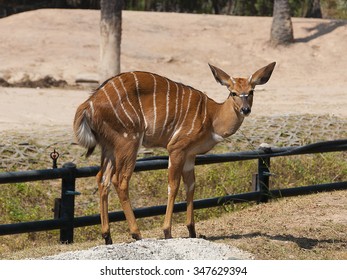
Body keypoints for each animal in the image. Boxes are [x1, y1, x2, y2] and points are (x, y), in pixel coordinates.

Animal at [74, 62, 278, 244]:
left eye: (251, 91)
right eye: (233, 92)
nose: (245, 109)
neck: (212, 118)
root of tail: (89, 103)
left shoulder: (190, 155)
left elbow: (191, 186)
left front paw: (192, 231)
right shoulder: (176, 148)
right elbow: (173, 186)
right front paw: (167, 231)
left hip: (109, 147)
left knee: (102, 179)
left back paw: (107, 237)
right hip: (129, 141)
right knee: (120, 180)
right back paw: (137, 234)